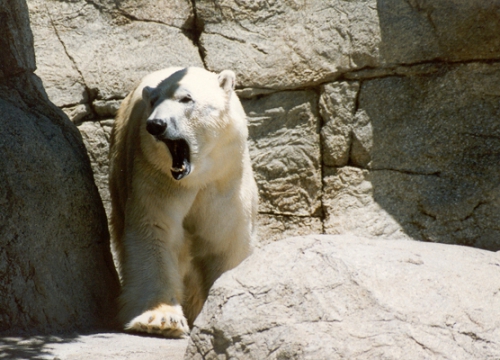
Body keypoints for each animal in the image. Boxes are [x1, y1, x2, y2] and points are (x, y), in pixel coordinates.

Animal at [109, 67, 258, 338]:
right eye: (154, 101)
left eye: (186, 98)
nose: (156, 125)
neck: (199, 174)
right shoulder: (156, 176)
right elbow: (155, 231)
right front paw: (160, 320)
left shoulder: (226, 183)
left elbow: (227, 242)